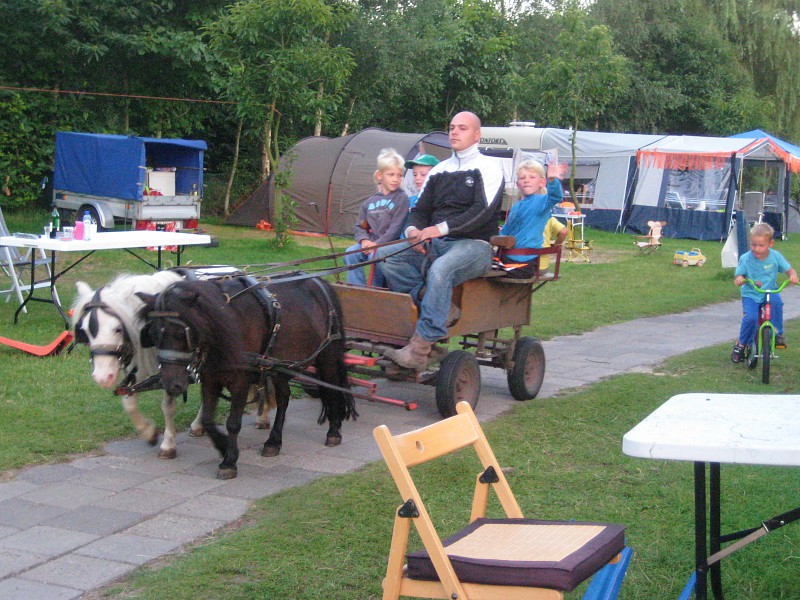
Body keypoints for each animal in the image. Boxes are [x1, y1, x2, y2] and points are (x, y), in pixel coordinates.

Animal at [72, 270, 276, 458]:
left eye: (117, 328)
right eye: (84, 330)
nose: (102, 377)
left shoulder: (174, 367)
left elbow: (168, 406)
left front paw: (168, 444)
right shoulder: (142, 367)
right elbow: (129, 401)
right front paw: (148, 432)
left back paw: (263, 416)